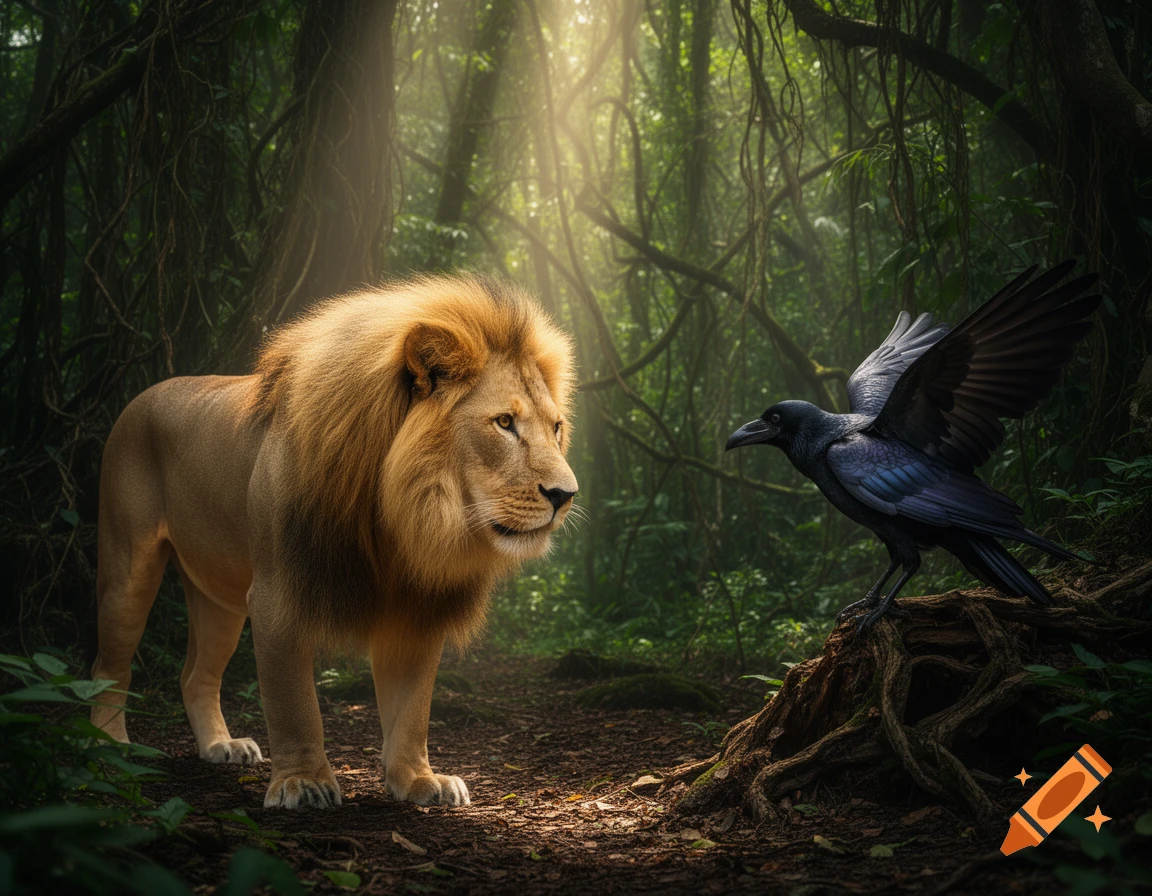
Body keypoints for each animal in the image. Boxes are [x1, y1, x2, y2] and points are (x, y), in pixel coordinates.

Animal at [89, 275, 577, 809]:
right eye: (505, 423)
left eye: (556, 427)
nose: (566, 495)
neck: (401, 518)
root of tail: (147, 393)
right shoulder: (278, 593)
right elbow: (293, 702)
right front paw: (303, 782)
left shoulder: (417, 606)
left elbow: (413, 710)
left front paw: (419, 780)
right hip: (127, 571)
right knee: (106, 665)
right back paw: (108, 746)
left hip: (219, 599)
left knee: (194, 674)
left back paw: (221, 745)